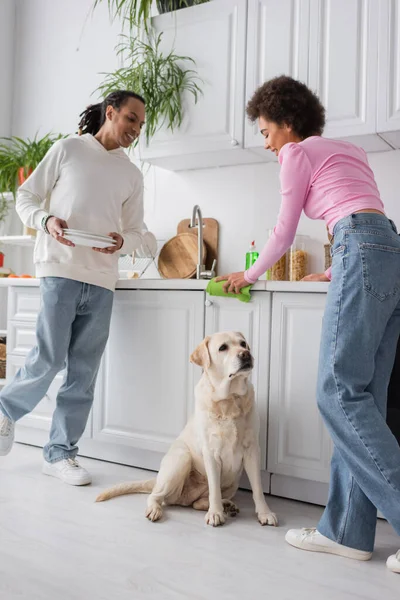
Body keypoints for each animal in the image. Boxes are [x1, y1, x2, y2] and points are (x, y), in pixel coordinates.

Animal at [97, 330, 278, 528]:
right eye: (223, 348)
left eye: (243, 344)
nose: (245, 354)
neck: (229, 399)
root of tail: (157, 479)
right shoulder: (211, 453)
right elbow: (214, 489)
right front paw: (215, 514)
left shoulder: (252, 450)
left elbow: (258, 489)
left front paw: (265, 513)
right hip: (181, 460)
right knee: (157, 496)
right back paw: (157, 509)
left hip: (232, 482)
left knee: (198, 503)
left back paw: (227, 505)